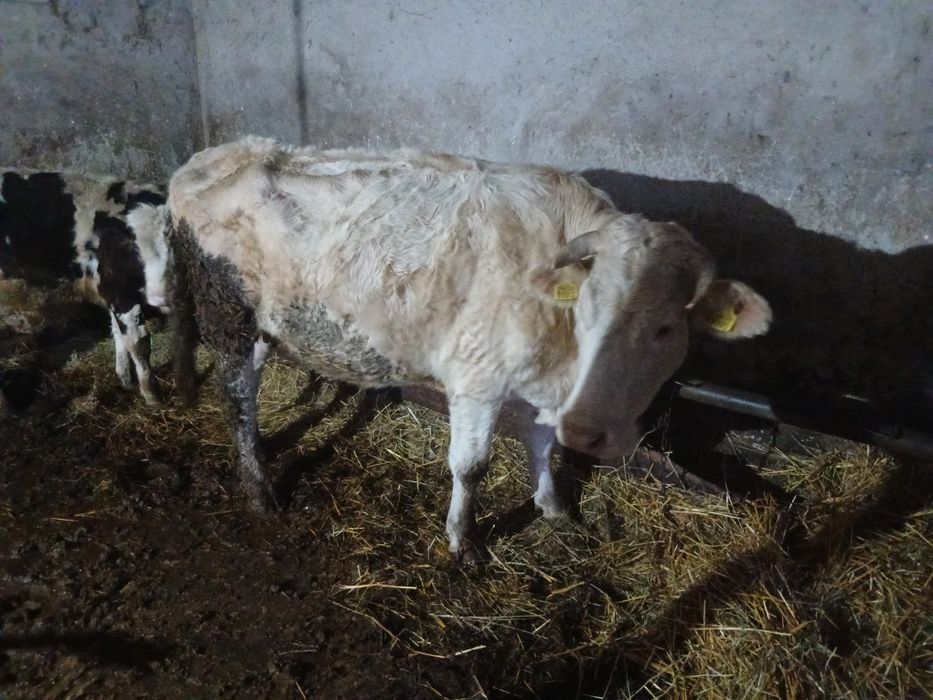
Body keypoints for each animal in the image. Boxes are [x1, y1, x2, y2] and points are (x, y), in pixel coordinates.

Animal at [0, 170, 168, 405]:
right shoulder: (121, 292)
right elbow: (138, 342)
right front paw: (152, 396)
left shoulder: (110, 292)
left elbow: (118, 334)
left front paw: (126, 381)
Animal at [167, 137, 772, 561]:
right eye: (589, 308)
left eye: (666, 329)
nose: (591, 432)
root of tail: (210, 158)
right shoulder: (477, 379)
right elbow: (472, 466)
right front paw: (464, 540)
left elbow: (542, 445)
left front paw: (553, 507)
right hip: (229, 318)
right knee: (237, 399)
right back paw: (259, 489)